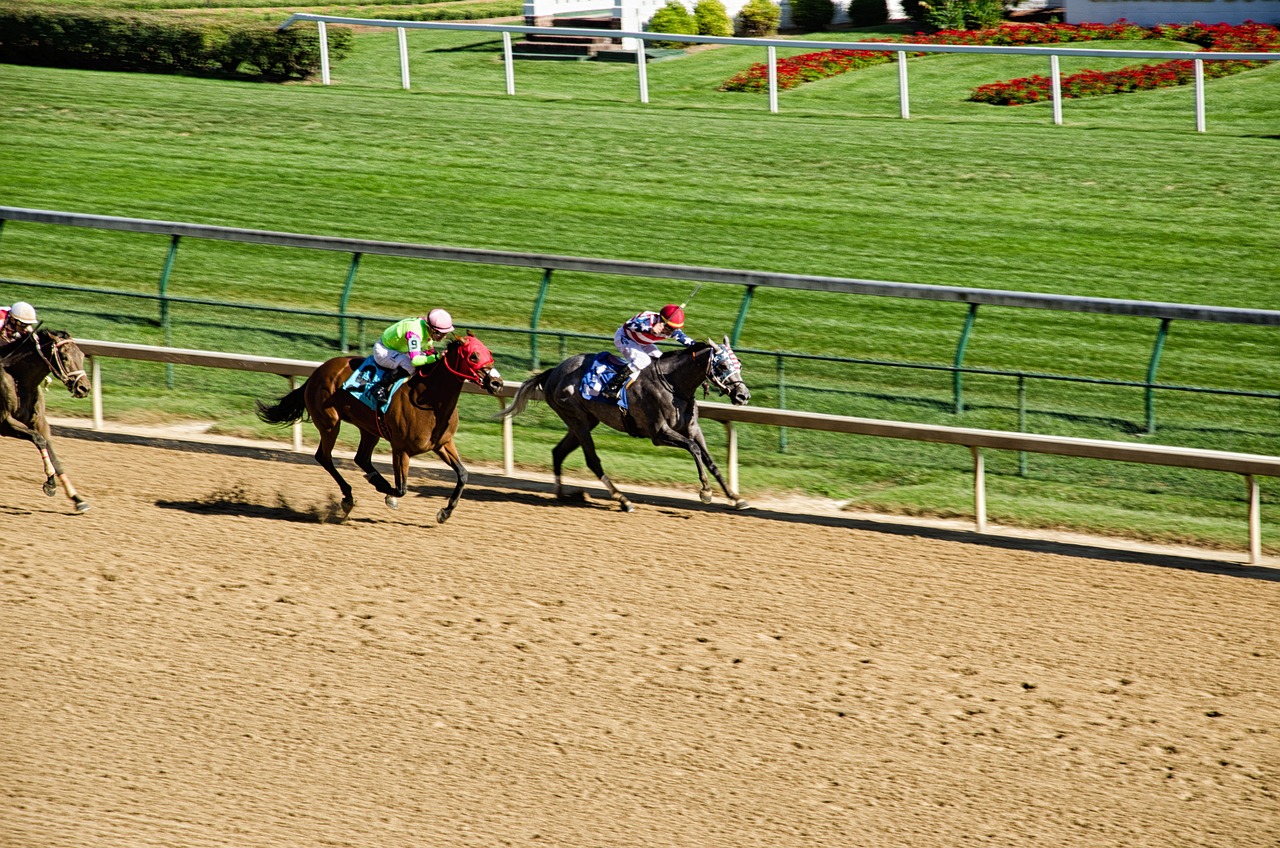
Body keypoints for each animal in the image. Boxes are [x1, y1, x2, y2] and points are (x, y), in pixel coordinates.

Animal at [0, 327, 92, 514]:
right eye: (64, 356)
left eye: (81, 354)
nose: (84, 388)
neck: (18, 378)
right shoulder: (4, 423)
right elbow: (39, 440)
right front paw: (50, 484)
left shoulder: (40, 422)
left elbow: (53, 455)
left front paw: (77, 498)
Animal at [254, 333, 499, 525]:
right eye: (473, 356)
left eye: (489, 352)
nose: (497, 383)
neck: (428, 398)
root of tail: (317, 372)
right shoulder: (400, 449)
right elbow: (401, 488)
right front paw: (387, 494)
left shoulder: (443, 443)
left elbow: (463, 475)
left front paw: (445, 512)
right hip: (329, 422)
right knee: (324, 457)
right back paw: (350, 496)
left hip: (369, 428)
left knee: (361, 458)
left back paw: (370, 480)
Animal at [491, 338, 747, 512]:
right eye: (722, 366)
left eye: (739, 364)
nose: (743, 396)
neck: (674, 384)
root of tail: (554, 371)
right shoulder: (659, 433)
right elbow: (694, 449)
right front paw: (706, 492)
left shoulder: (692, 428)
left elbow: (709, 460)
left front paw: (735, 497)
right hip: (577, 419)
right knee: (592, 460)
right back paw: (623, 499)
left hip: (584, 421)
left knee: (558, 452)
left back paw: (561, 493)